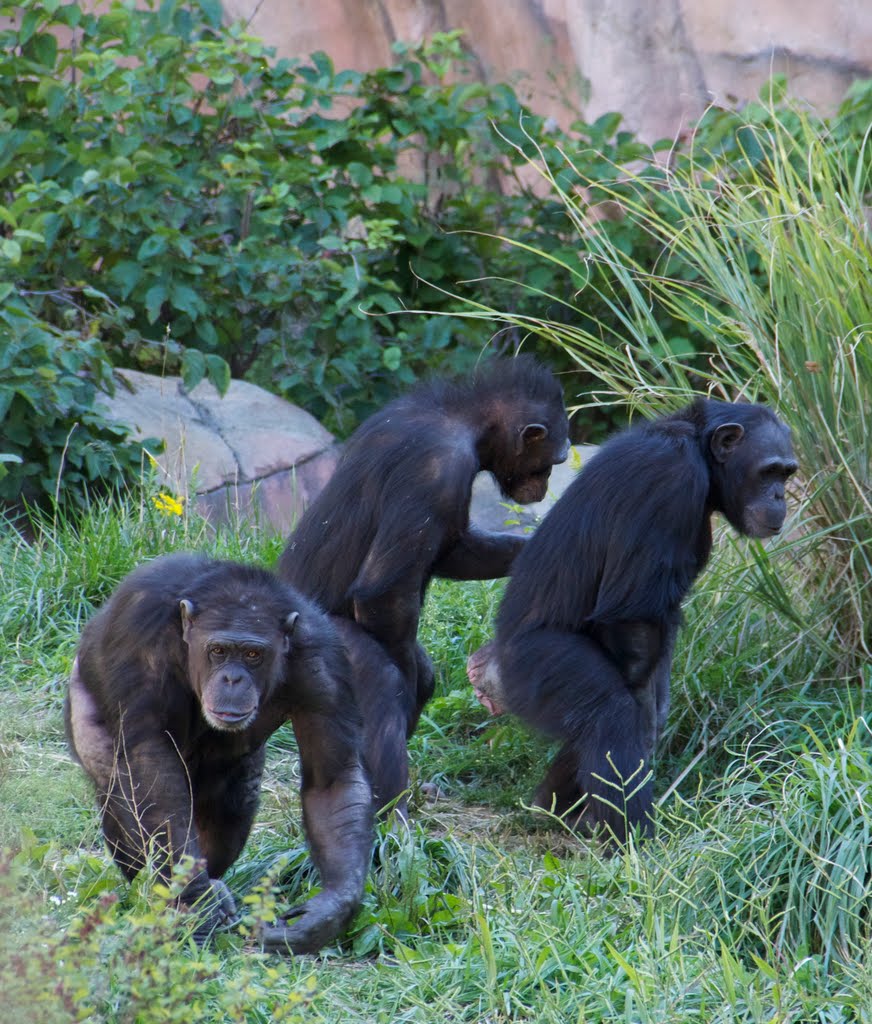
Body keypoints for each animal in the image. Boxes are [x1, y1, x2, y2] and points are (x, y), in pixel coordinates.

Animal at [63, 552, 370, 950]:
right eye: (218, 651)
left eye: (253, 654)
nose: (232, 678)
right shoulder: (137, 638)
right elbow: (150, 759)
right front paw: (198, 898)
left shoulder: (323, 661)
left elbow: (333, 779)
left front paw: (329, 911)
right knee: (121, 789)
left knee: (234, 799)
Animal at [276, 356, 569, 811]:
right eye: (552, 462)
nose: (545, 485)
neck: (467, 421)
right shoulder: (437, 469)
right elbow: (382, 590)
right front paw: (408, 687)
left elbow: (456, 550)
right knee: (381, 681)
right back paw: (390, 811)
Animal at [470, 395, 798, 843]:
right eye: (768, 471)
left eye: (786, 472)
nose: (781, 495)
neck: (699, 451)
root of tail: (496, 655)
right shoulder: (669, 480)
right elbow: (631, 621)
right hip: (537, 662)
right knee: (608, 713)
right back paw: (633, 839)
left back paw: (553, 806)